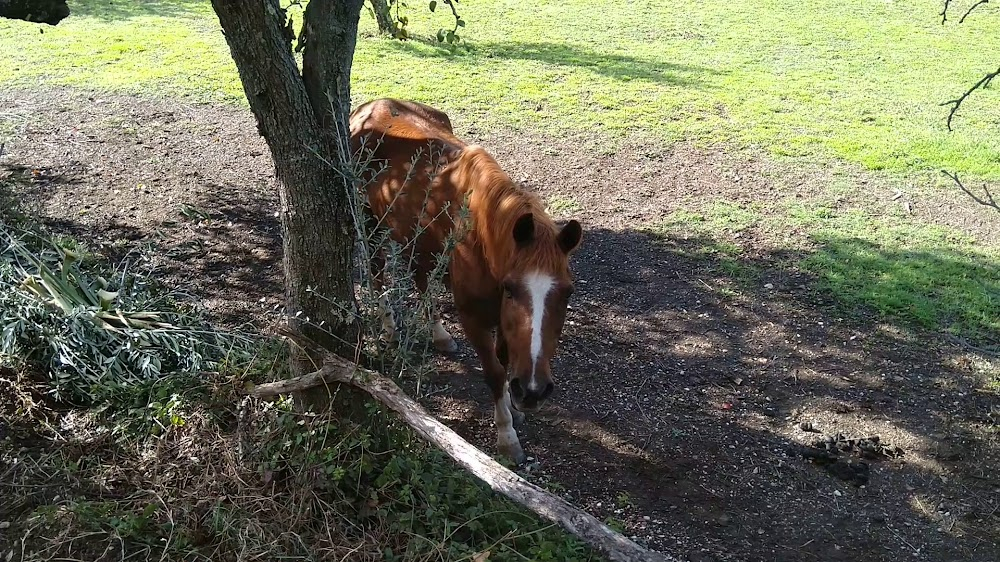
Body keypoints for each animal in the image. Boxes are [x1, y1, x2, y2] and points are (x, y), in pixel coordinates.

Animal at [352, 98, 584, 462]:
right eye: (511, 289)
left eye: (567, 292)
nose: (533, 391)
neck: (478, 231)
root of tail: (369, 107)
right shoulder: (474, 318)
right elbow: (494, 372)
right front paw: (507, 435)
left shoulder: (502, 321)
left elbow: (505, 361)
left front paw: (513, 408)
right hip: (370, 219)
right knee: (376, 270)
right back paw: (388, 329)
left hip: (416, 238)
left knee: (420, 278)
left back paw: (439, 333)